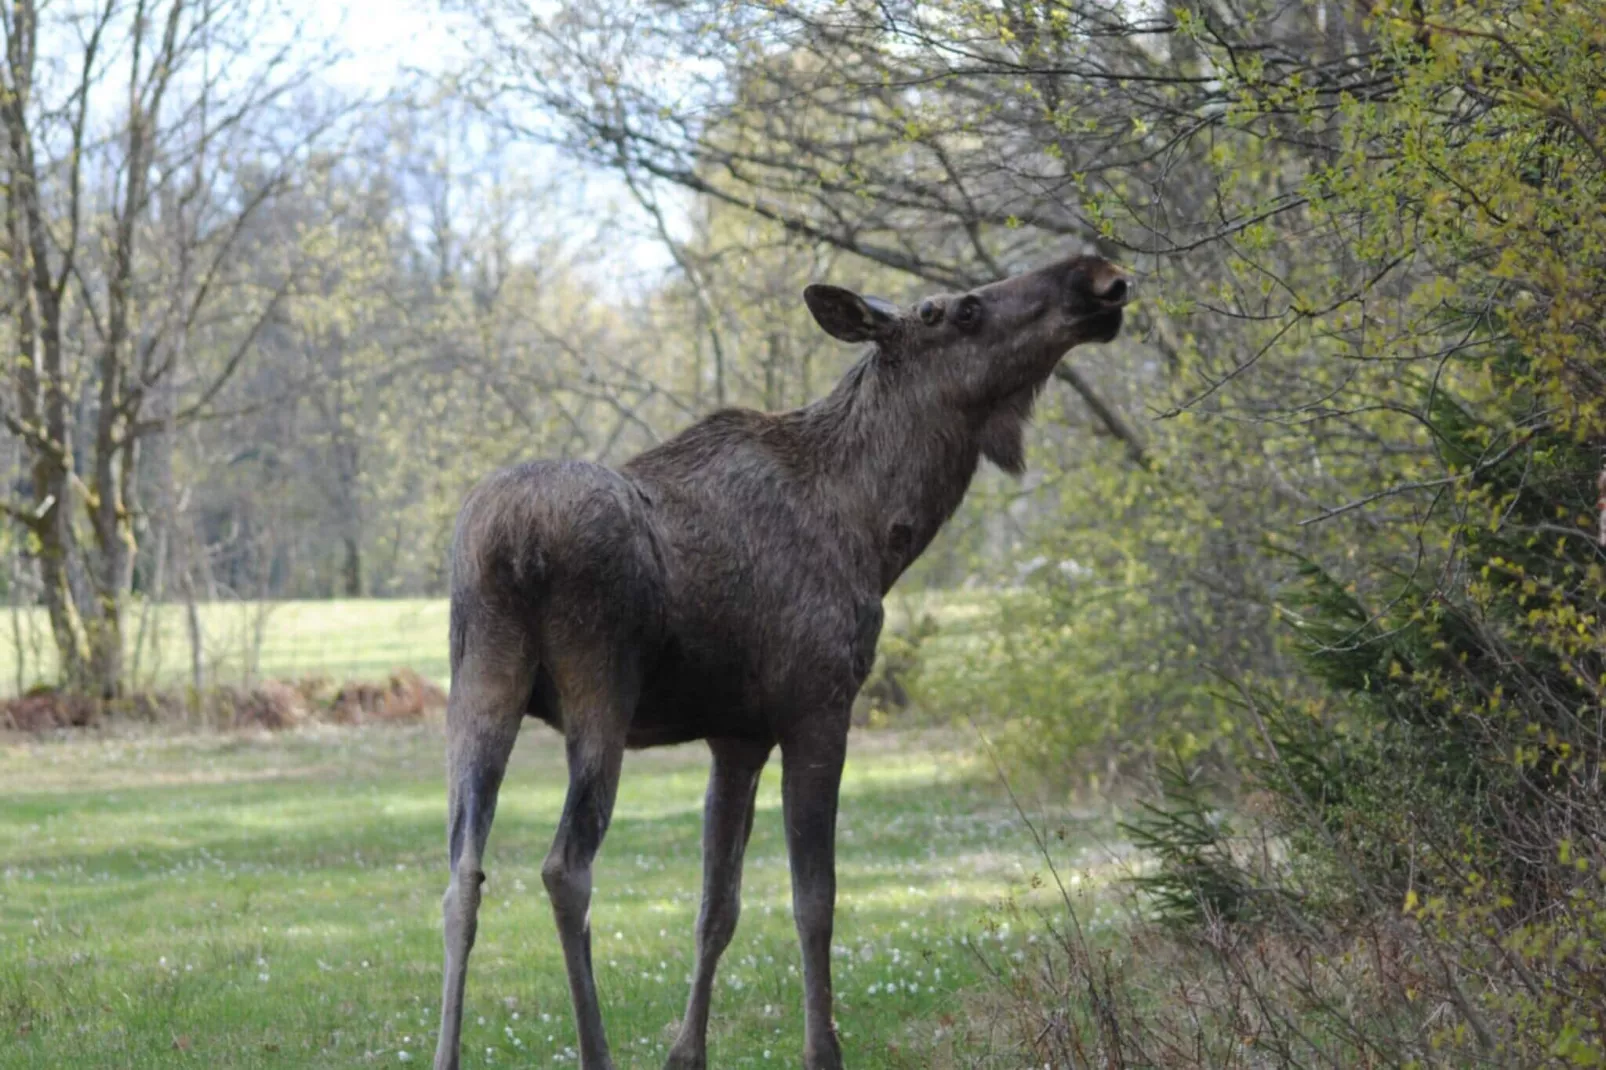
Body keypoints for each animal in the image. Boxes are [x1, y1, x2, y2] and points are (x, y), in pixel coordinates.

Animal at [427, 252, 1130, 1066]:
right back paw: (596, 1051)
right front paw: (823, 1049)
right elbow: (813, 901)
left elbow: (717, 908)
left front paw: (686, 1053)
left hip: (479, 682)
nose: (1097, 275)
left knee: (462, 875)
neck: (879, 532)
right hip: (599, 689)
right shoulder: (818, 707)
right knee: (565, 867)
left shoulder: (737, 736)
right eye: (957, 310)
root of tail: (515, 545)